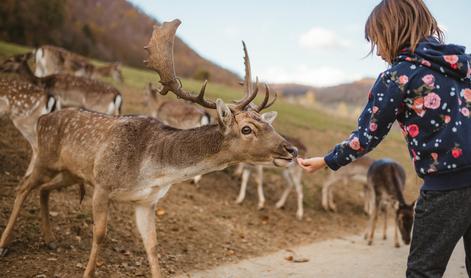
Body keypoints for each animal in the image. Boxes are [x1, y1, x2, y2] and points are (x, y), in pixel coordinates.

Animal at [0, 19, 298, 278]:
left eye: (266, 123)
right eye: (247, 129)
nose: (291, 150)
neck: (152, 171)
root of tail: (44, 118)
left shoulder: (146, 202)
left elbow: (152, 247)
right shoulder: (103, 185)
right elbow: (100, 234)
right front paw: (87, 272)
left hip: (71, 172)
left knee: (44, 189)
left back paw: (49, 239)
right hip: (45, 157)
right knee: (24, 187)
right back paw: (5, 244)